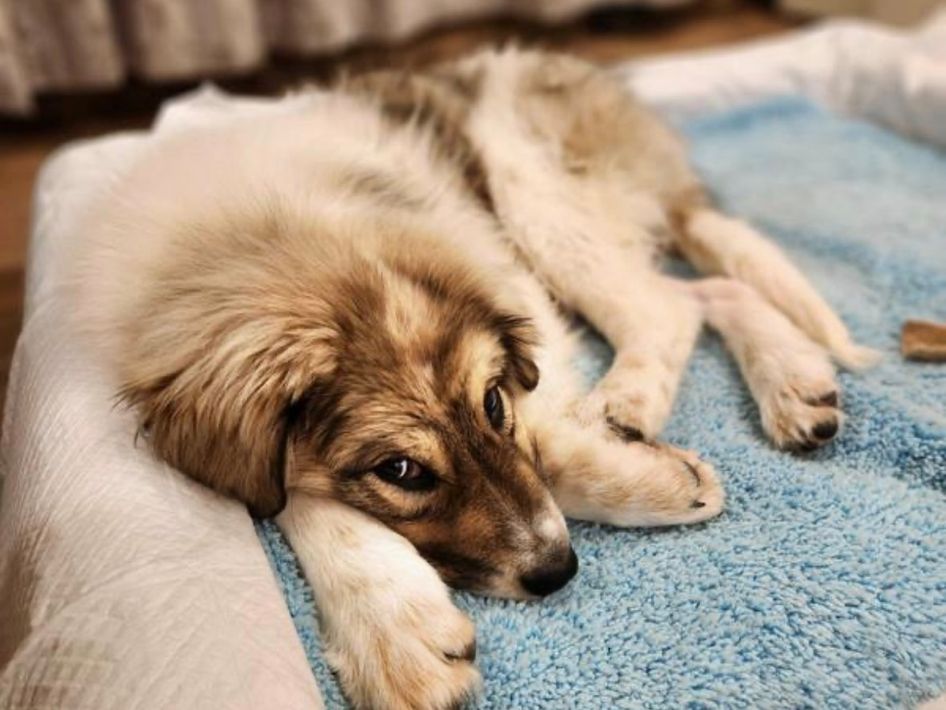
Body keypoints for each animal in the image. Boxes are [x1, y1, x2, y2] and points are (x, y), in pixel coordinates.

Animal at [76, 48, 877, 709]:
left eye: (493, 402)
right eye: (400, 470)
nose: (558, 571)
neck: (256, 235)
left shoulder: (506, 279)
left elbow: (543, 437)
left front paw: (637, 475)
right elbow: (292, 496)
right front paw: (395, 635)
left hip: (539, 198)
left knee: (670, 304)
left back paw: (633, 399)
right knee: (705, 291)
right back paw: (796, 388)